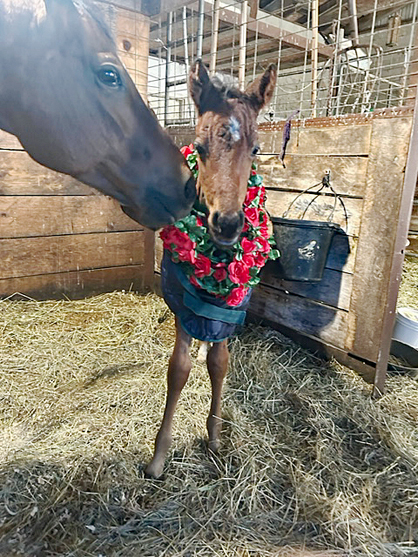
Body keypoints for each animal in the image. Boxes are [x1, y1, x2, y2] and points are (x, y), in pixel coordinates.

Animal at [147, 60, 278, 478]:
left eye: (255, 149)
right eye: (201, 148)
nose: (228, 224)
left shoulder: (229, 308)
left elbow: (219, 364)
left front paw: (216, 437)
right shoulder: (183, 304)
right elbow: (179, 368)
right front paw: (158, 457)